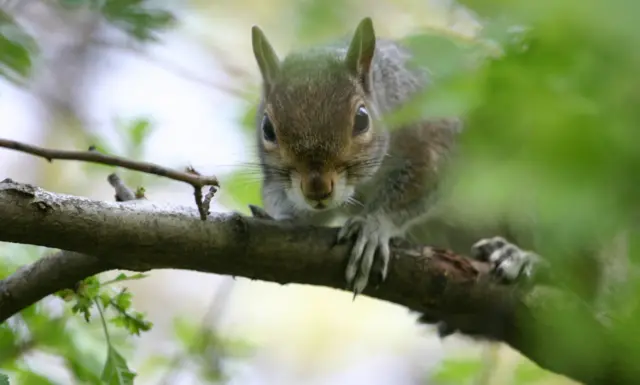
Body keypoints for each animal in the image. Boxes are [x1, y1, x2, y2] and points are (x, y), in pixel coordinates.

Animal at [250, 18, 540, 306]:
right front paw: (285, 217)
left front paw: (373, 226)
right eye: (267, 129)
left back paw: (520, 256)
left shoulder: (433, 144)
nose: (317, 189)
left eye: (362, 119)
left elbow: (417, 188)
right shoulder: (278, 179)